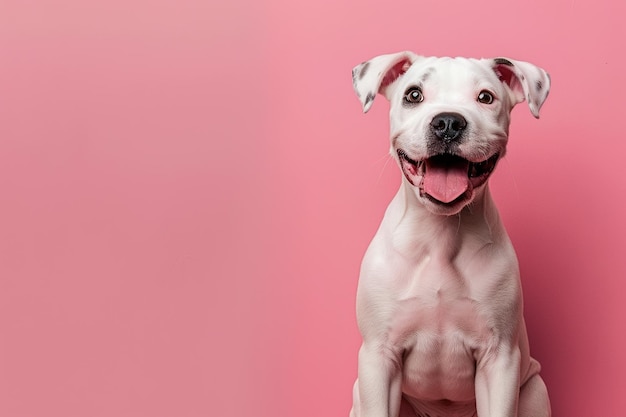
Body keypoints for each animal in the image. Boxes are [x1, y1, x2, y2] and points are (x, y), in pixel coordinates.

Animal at [348, 52, 548, 416]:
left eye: (486, 97)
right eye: (413, 94)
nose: (448, 123)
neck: (440, 237)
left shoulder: (499, 361)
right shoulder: (378, 358)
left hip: (533, 391)